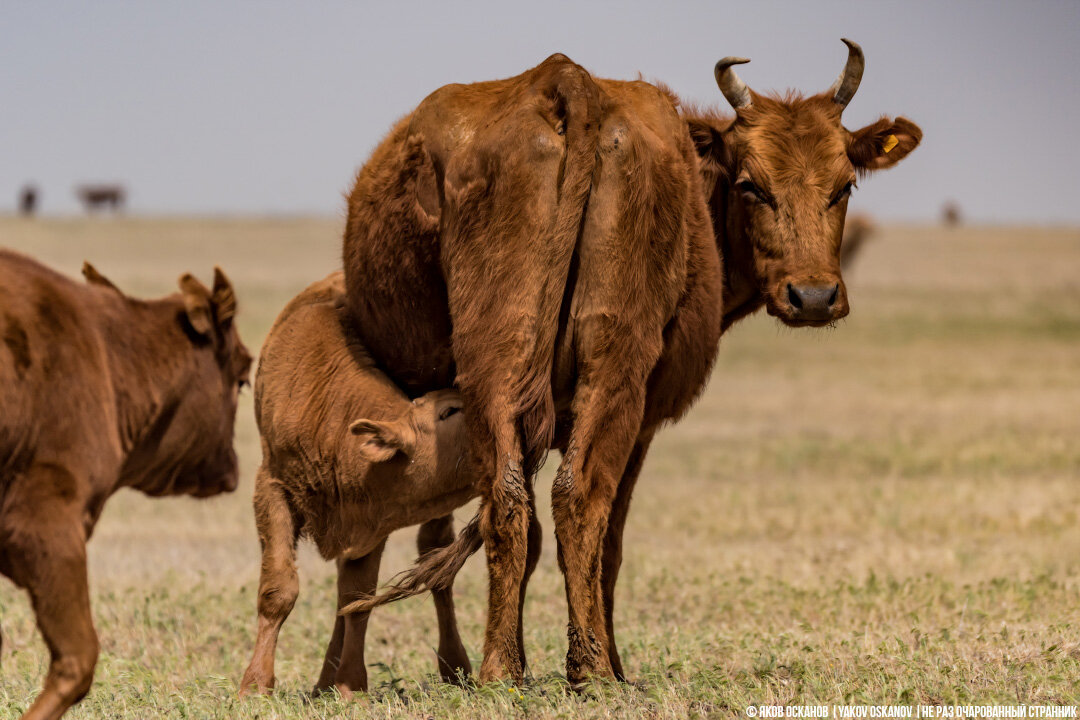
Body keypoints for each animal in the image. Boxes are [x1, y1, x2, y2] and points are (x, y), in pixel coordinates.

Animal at [238, 272, 475, 699]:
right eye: (448, 411)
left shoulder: (372, 521)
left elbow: (358, 599)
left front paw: (352, 687)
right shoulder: (271, 488)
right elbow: (279, 589)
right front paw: (255, 684)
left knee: (434, 566)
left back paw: (454, 668)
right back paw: (321, 685)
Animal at [339, 40, 920, 686]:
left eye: (844, 188)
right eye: (751, 186)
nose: (814, 297)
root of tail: (567, 82)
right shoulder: (642, 423)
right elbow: (606, 543)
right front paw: (609, 661)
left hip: (503, 365)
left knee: (516, 502)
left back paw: (511, 667)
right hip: (606, 373)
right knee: (575, 503)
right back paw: (587, 668)